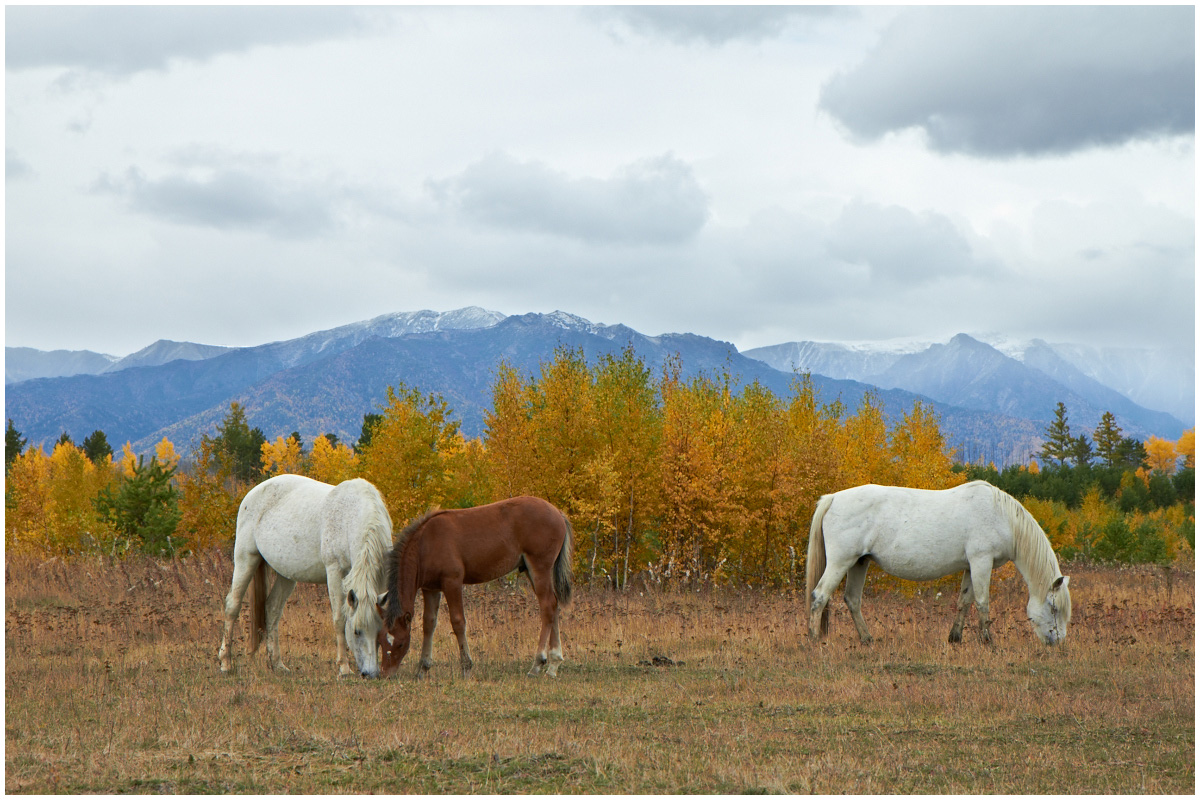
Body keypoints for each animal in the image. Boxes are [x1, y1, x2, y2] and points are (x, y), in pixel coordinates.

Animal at [216, 472, 393, 681]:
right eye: (356, 632)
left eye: (378, 630)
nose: (370, 673)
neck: (351, 517)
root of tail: (252, 493)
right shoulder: (334, 572)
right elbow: (339, 619)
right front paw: (343, 668)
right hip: (246, 558)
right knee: (232, 606)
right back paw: (225, 663)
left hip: (286, 574)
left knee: (272, 609)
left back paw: (277, 664)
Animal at [381, 496, 573, 681]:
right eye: (380, 641)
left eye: (400, 643)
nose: (385, 674)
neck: (425, 544)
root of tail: (558, 513)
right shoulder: (431, 588)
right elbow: (429, 623)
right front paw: (423, 669)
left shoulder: (452, 582)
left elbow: (458, 622)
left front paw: (466, 668)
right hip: (530, 570)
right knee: (553, 605)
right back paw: (553, 665)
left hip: (539, 567)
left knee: (547, 606)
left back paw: (537, 664)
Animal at [806, 482, 1070, 642]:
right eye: (1053, 608)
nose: (1057, 642)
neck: (1001, 516)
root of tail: (832, 498)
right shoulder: (981, 562)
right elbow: (982, 602)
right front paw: (988, 641)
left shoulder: (970, 566)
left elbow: (964, 601)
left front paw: (955, 638)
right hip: (841, 562)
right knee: (819, 596)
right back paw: (814, 639)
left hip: (859, 563)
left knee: (852, 600)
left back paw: (868, 639)